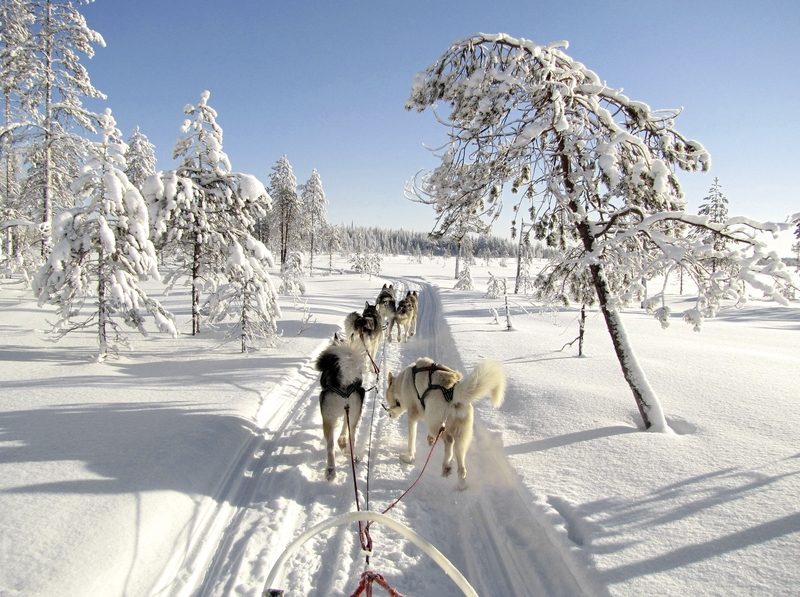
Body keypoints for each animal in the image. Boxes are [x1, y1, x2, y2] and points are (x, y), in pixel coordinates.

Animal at [314, 342, 368, 478]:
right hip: (354, 412)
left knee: (331, 446)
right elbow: (345, 425)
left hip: (328, 417)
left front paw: (341, 440)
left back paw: (331, 468)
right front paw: (343, 440)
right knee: (350, 436)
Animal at [388, 356, 506, 486]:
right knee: (461, 464)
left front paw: (409, 457)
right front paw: (429, 440)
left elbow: (411, 440)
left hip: (433, 422)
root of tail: (453, 390)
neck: (402, 382)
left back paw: (446, 464)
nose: (389, 414)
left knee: (449, 441)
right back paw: (457, 479)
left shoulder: (412, 415)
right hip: (460, 436)